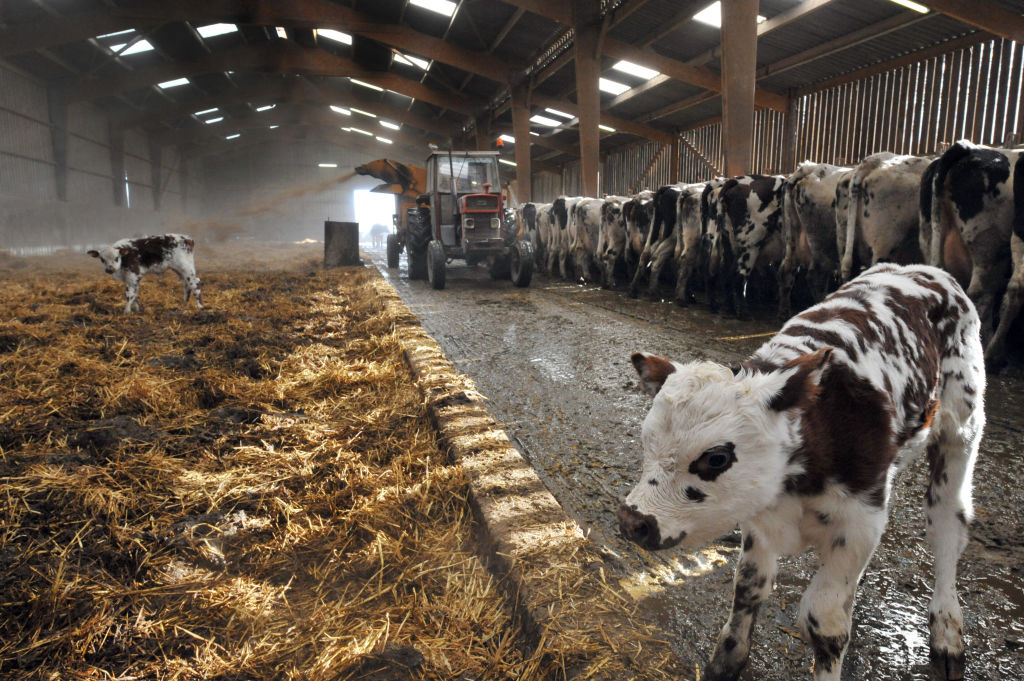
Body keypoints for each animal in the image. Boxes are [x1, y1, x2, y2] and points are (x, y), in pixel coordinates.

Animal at [614, 262, 983, 679]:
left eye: (716, 458)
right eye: (647, 439)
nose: (632, 521)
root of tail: (922, 268)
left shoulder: (860, 521)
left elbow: (825, 621)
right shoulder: (758, 513)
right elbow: (749, 586)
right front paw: (727, 659)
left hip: (961, 431)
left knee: (947, 524)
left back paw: (947, 629)